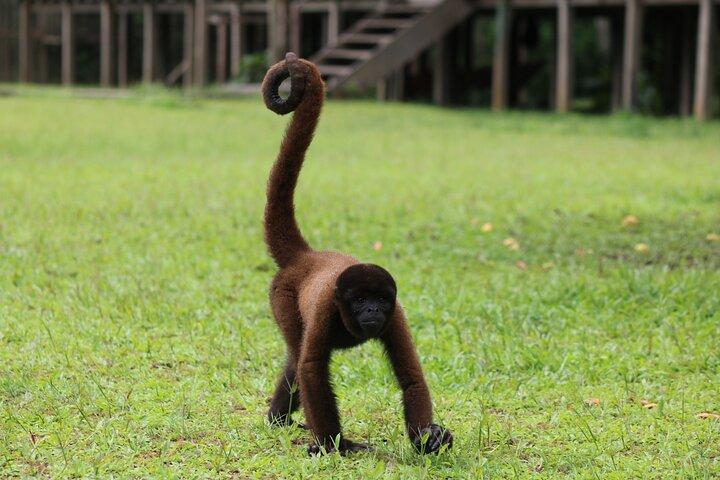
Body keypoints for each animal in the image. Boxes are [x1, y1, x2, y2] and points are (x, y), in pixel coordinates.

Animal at [261, 52, 453, 456]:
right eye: (361, 300)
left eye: (380, 301)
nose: (372, 312)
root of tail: (306, 256)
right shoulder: (325, 308)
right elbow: (312, 368)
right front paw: (335, 445)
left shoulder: (397, 316)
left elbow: (411, 377)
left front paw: (428, 439)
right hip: (281, 296)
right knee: (297, 355)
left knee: (292, 360)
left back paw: (278, 418)